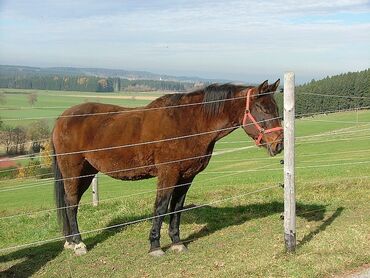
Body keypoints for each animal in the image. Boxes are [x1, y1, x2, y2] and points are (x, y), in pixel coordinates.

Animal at [51, 78, 284, 256]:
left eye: (276, 108)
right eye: (262, 109)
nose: (279, 144)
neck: (189, 123)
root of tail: (61, 118)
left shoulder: (187, 176)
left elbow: (177, 208)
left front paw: (177, 242)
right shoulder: (168, 173)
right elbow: (161, 207)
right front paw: (155, 246)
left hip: (87, 172)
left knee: (70, 203)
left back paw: (70, 241)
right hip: (73, 171)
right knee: (71, 204)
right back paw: (79, 244)